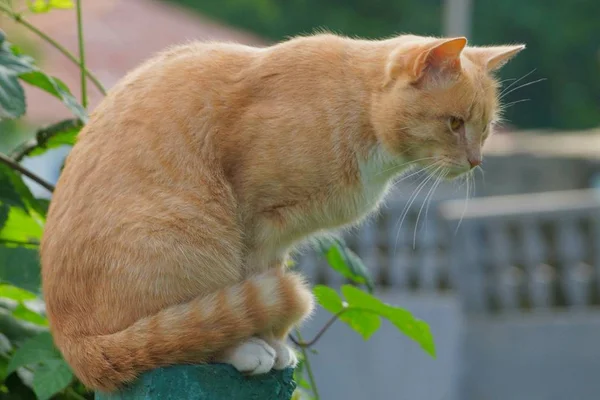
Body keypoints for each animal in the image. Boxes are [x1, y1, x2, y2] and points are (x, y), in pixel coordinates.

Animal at [39, 33, 524, 390]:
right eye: (454, 124)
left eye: (485, 128)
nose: (476, 161)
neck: (359, 112)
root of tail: (71, 342)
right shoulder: (256, 221)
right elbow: (256, 292)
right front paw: (265, 344)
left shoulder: (279, 241)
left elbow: (264, 286)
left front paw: (276, 343)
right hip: (194, 244)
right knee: (176, 339)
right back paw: (242, 350)